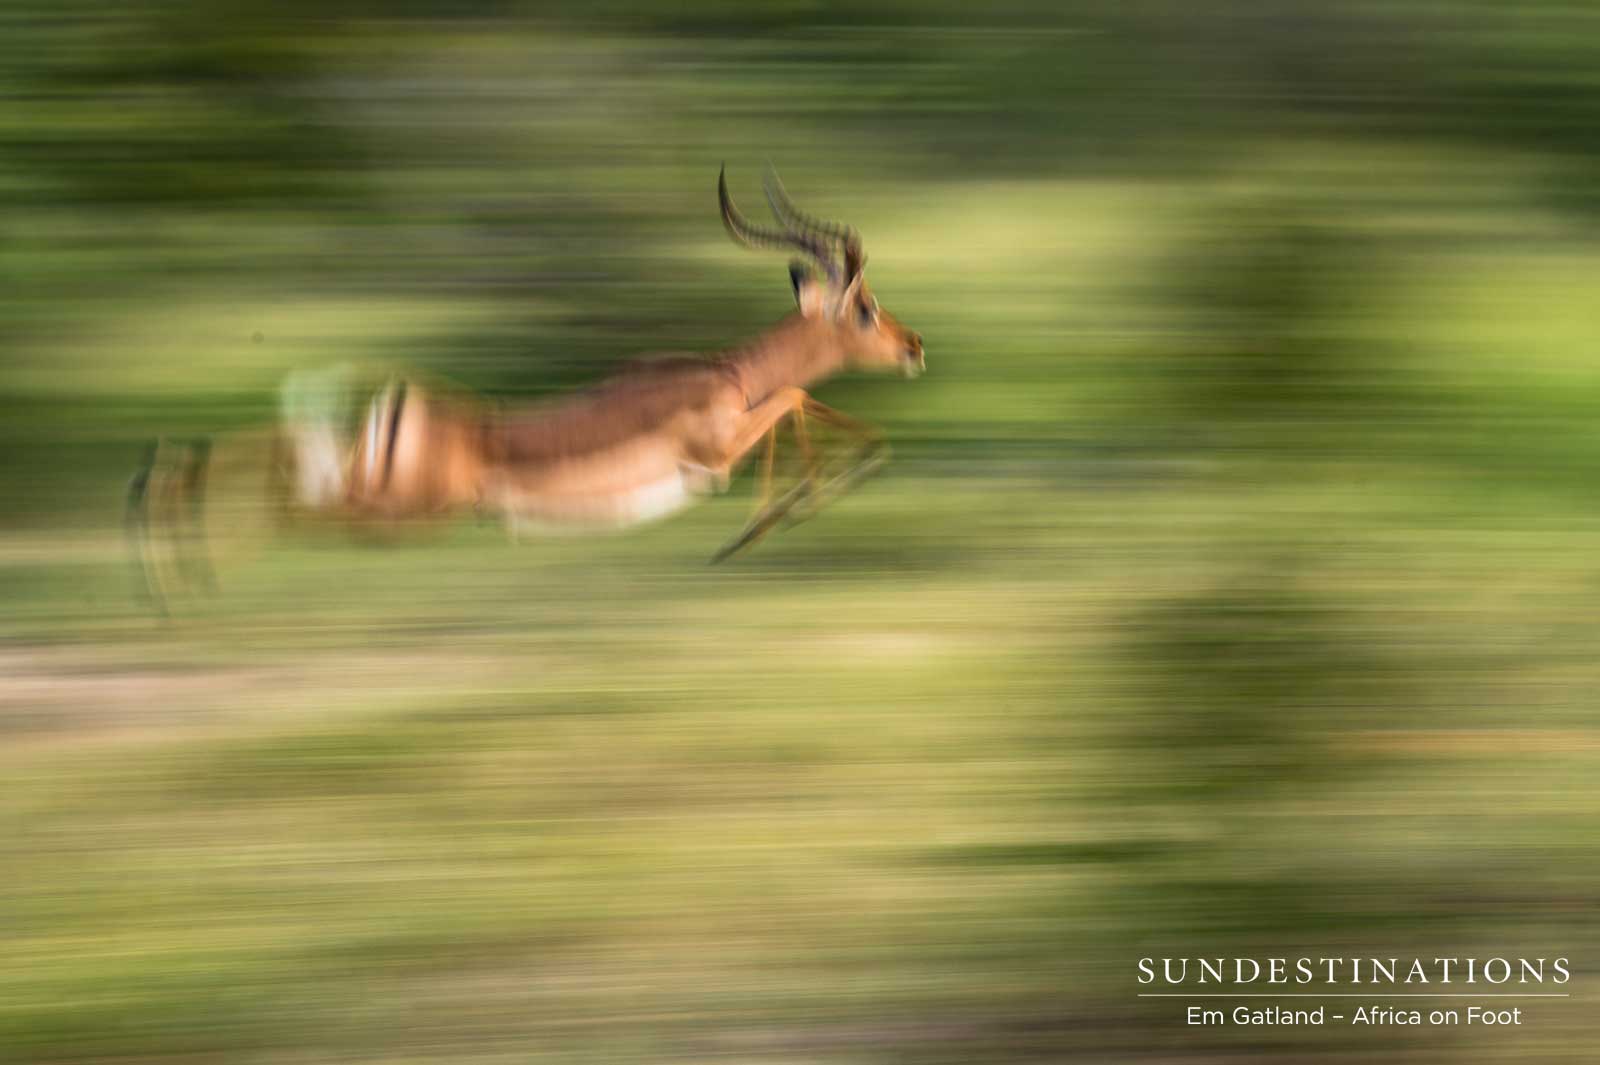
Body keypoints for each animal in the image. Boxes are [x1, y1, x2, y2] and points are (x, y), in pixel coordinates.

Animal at [128, 166, 924, 604]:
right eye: (864, 306)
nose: (914, 347)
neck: (727, 372)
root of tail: (404, 403)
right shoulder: (714, 454)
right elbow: (794, 397)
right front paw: (762, 524)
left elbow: (803, 404)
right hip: (397, 506)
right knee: (285, 497)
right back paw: (175, 569)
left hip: (375, 490)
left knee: (270, 459)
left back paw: (162, 539)